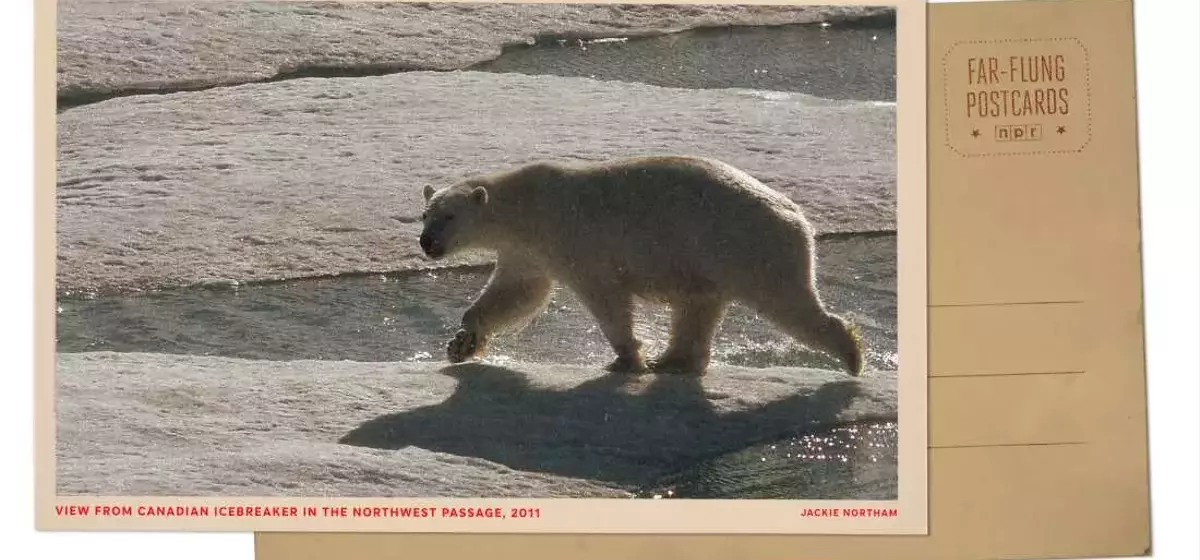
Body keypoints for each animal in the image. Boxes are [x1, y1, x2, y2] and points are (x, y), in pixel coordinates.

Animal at [417, 155, 863, 376]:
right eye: (425, 215)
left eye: (449, 217)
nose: (427, 243)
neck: (527, 205)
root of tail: (799, 217)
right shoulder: (527, 250)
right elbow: (517, 292)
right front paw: (462, 342)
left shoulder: (572, 239)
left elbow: (605, 297)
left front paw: (627, 358)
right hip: (711, 261)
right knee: (698, 307)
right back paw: (675, 361)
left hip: (748, 247)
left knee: (788, 303)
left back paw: (852, 354)